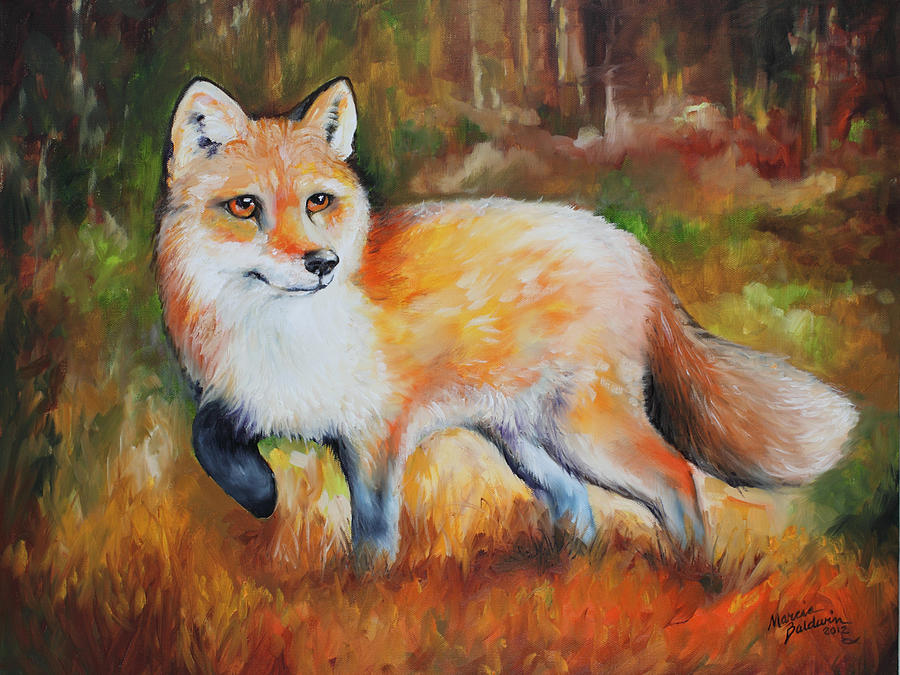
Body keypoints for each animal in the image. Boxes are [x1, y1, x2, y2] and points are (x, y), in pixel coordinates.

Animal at [155, 76, 858, 566]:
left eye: (318, 202)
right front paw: (260, 494)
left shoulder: (377, 434)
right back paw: (570, 573)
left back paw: (693, 578)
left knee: (677, 478)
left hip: (583, 432)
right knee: (577, 504)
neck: (280, 332)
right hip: (525, 442)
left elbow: (375, 530)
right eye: (245, 207)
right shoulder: (253, 400)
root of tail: (625, 243)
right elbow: (208, 438)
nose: (322, 264)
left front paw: (364, 590)